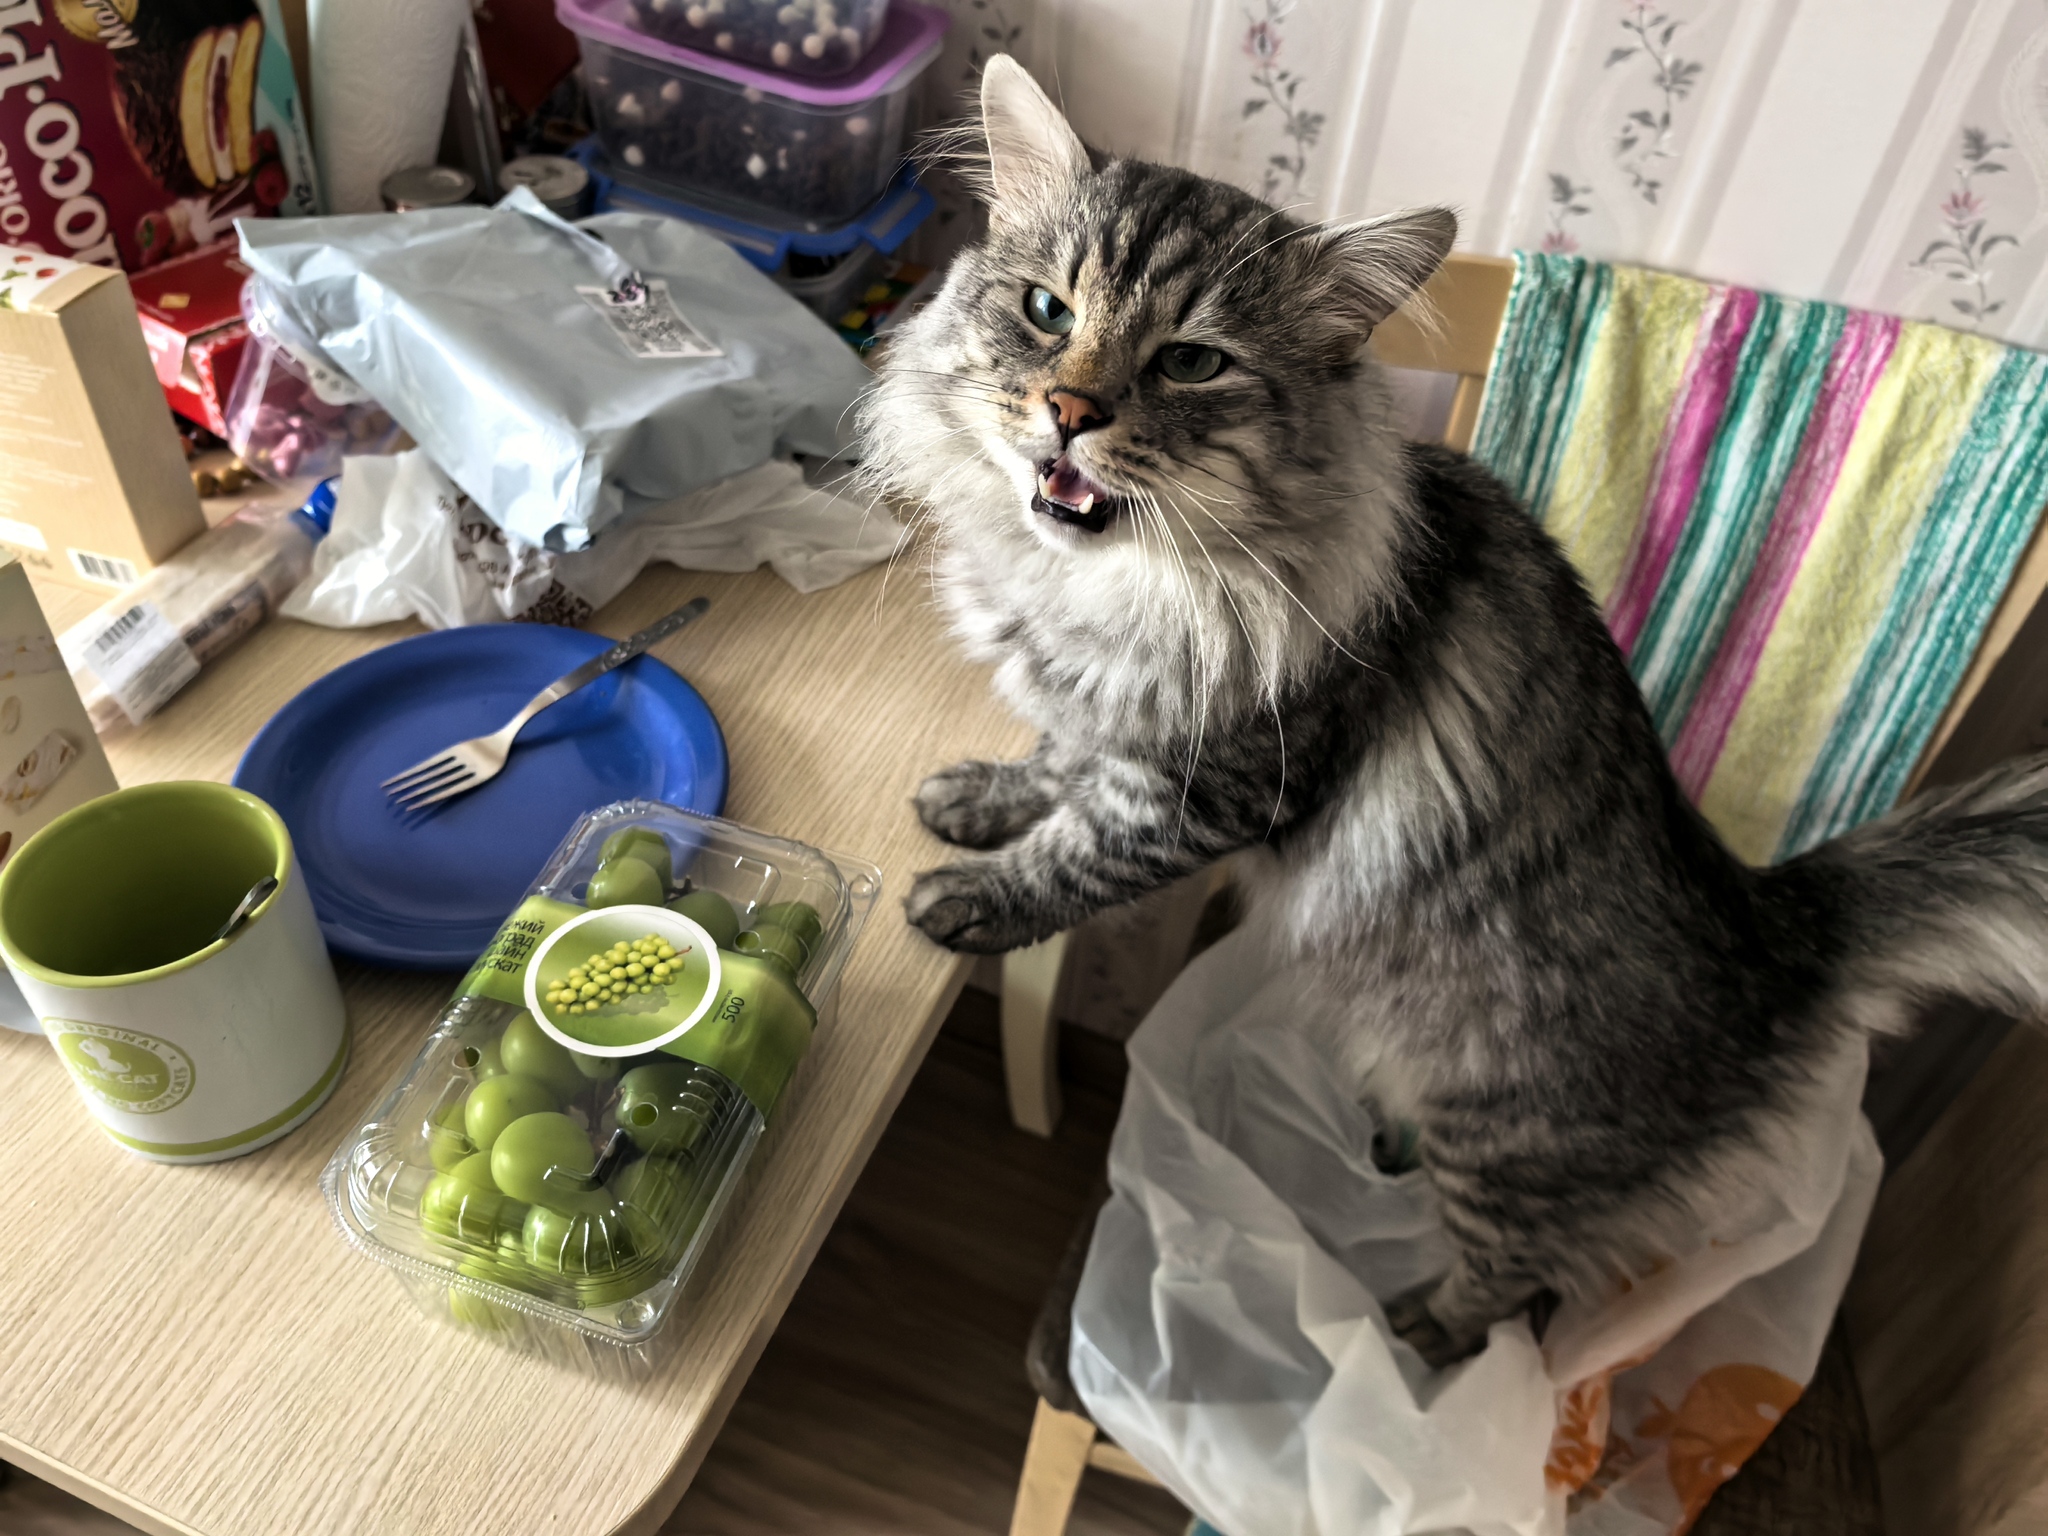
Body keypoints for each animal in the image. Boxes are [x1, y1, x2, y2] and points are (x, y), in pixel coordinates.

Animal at [857, 56, 2048, 1367]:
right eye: (1045, 310)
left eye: (1189, 363)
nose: (1068, 411)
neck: (1103, 583)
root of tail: (1775, 932)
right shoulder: (1106, 720)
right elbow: (1051, 760)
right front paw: (974, 797)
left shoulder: (1205, 790)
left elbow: (1070, 857)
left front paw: (963, 900)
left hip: (1504, 1140)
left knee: (1510, 1294)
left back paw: (1403, 1344)